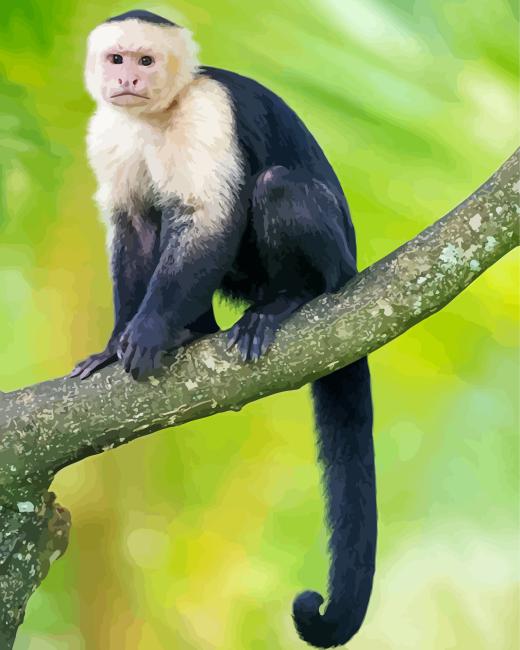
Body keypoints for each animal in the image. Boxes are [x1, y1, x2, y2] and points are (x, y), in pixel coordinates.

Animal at [70, 9, 376, 648]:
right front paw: (117, 344)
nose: (128, 81)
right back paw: (195, 329)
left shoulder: (207, 112)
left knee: (275, 185)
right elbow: (133, 222)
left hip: (337, 261)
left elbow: (209, 216)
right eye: (117, 59)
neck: (156, 116)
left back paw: (286, 302)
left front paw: (149, 330)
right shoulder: (106, 130)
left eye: (146, 61)